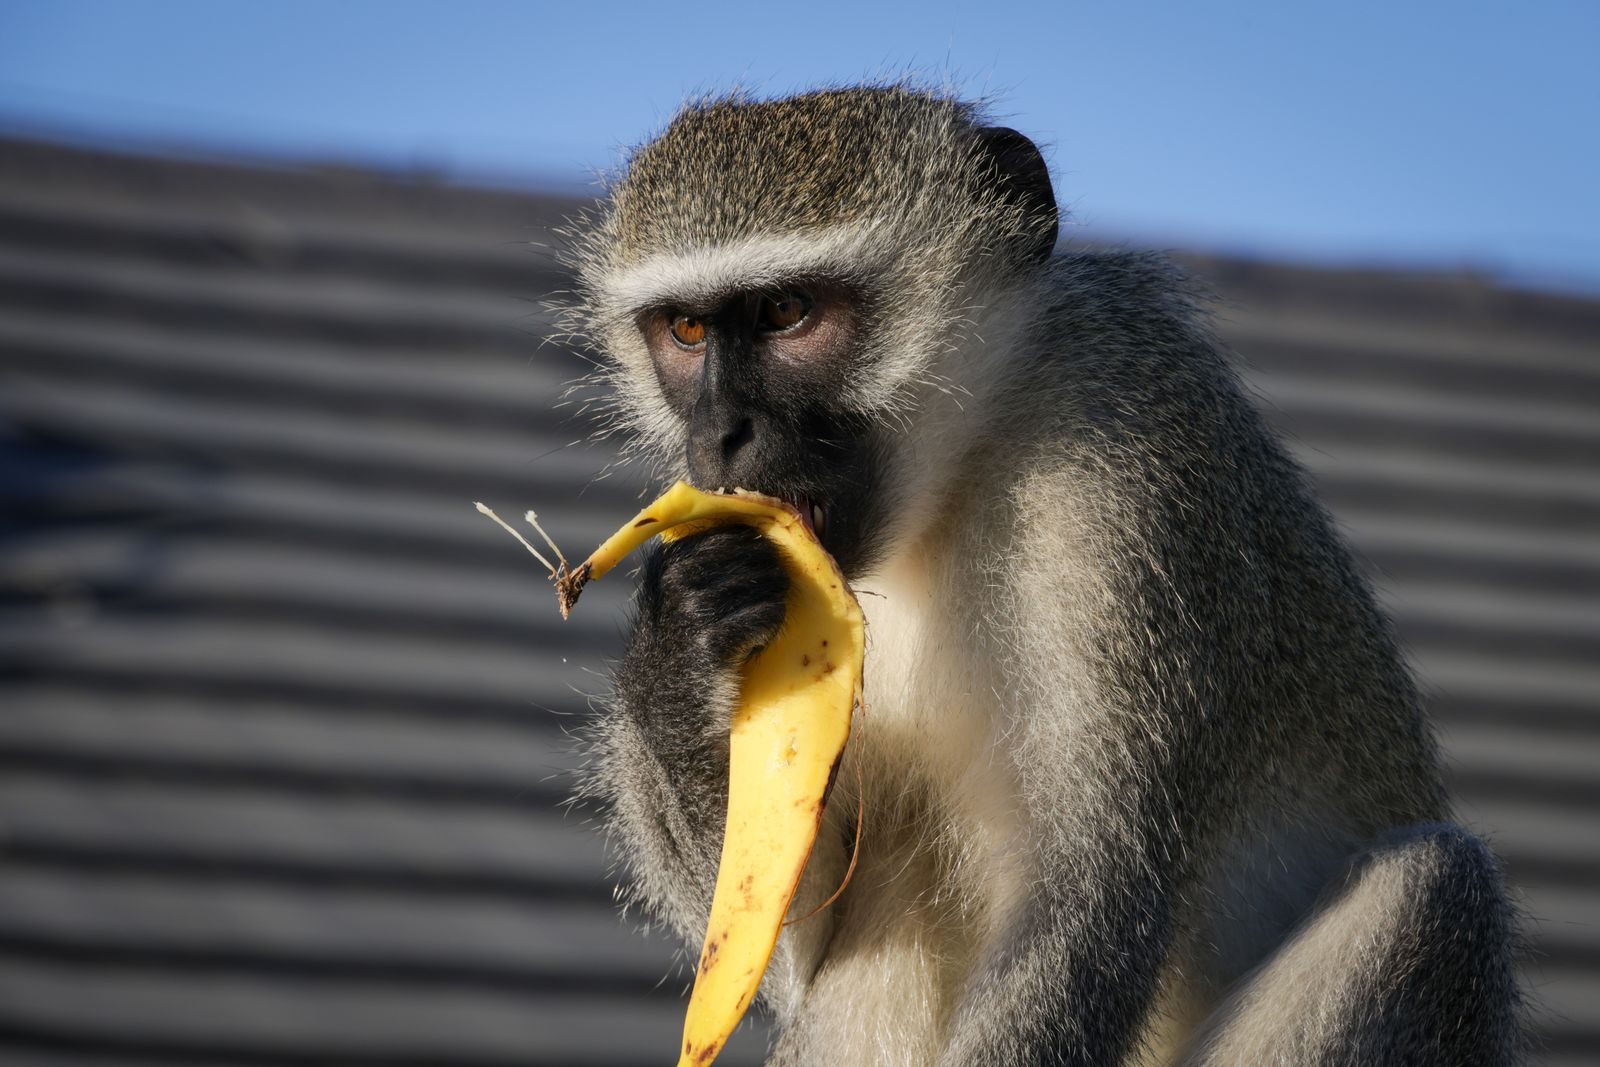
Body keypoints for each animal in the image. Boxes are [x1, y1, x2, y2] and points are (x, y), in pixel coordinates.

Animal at [563, 86, 1524, 1065]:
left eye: (788, 312)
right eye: (686, 330)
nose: (720, 431)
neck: (961, 460)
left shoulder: (1126, 470)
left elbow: (1089, 887)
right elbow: (791, 928)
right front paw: (683, 632)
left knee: (1434, 889)